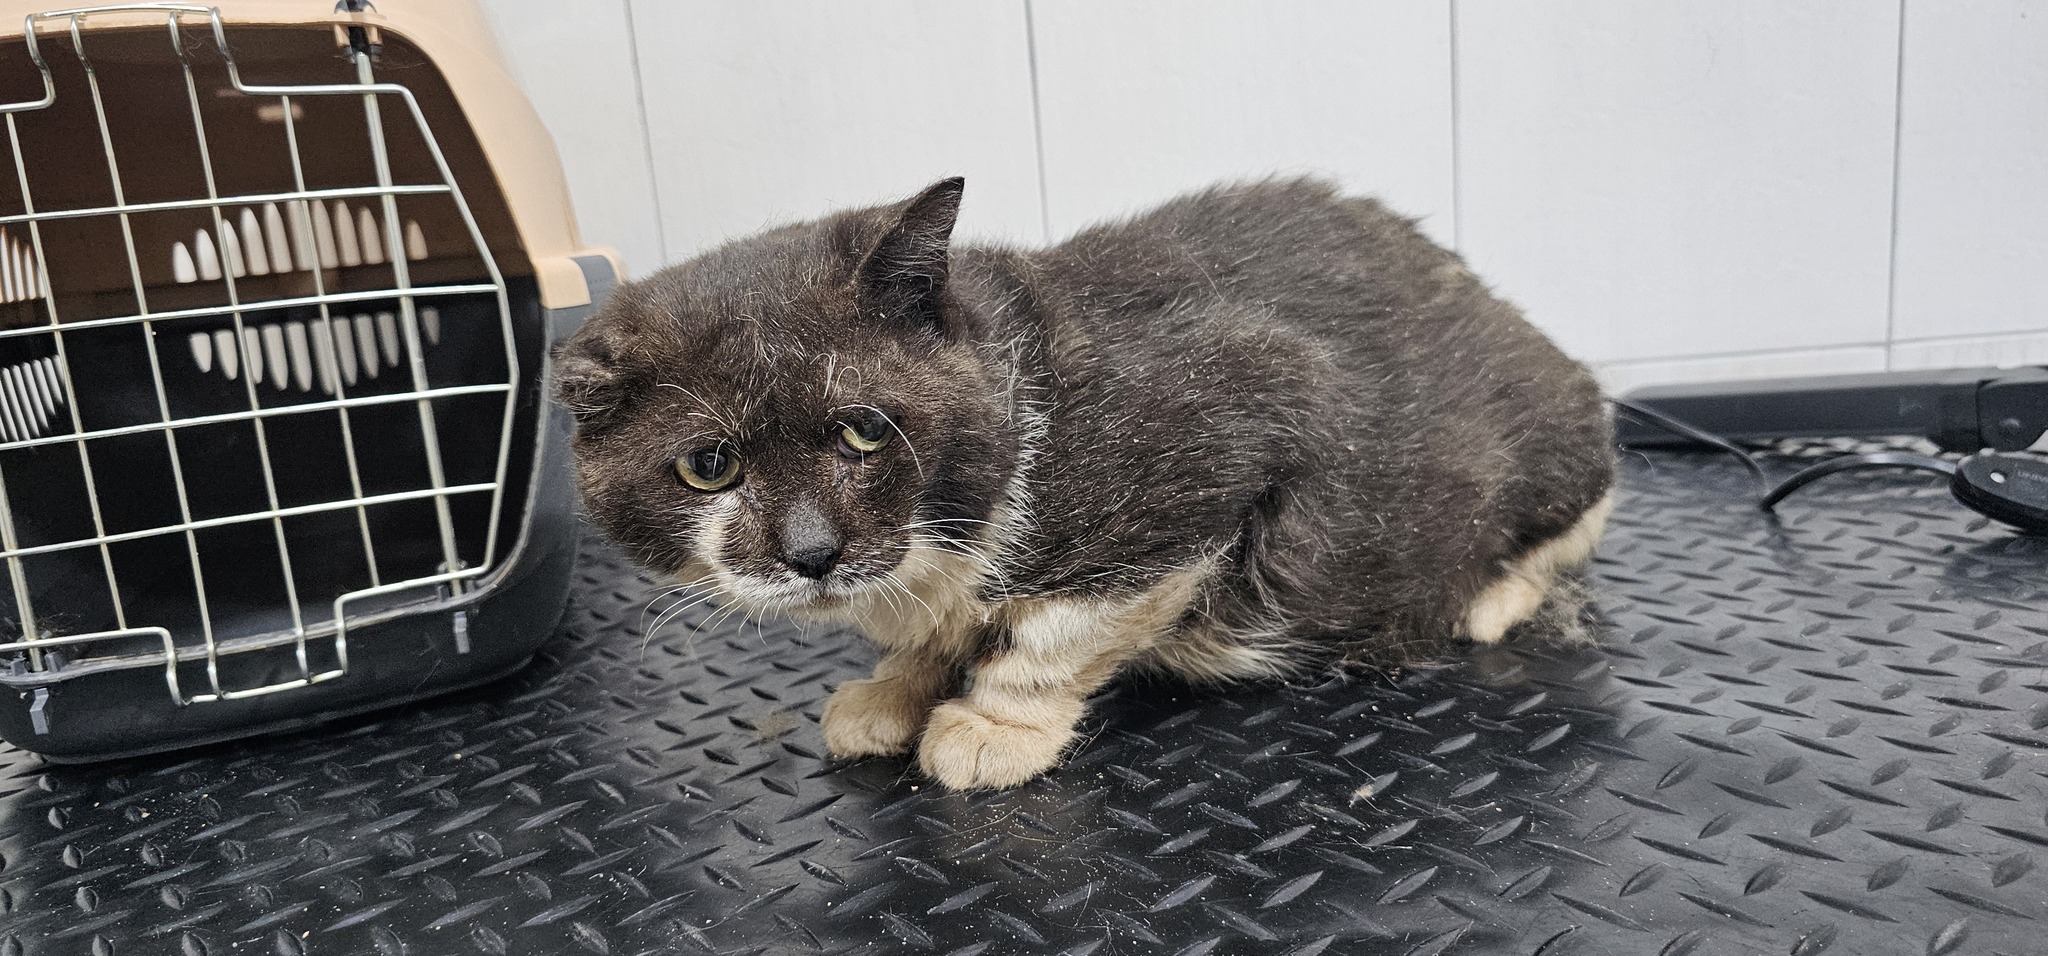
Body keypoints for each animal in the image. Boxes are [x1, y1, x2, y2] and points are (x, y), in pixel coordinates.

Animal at [557, 176, 1613, 790]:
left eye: (864, 429)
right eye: (709, 466)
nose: (812, 551)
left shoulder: (1239, 425)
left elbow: (1058, 628)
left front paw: (987, 727)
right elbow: (932, 640)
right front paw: (894, 689)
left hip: (1554, 438)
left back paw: (1489, 599)